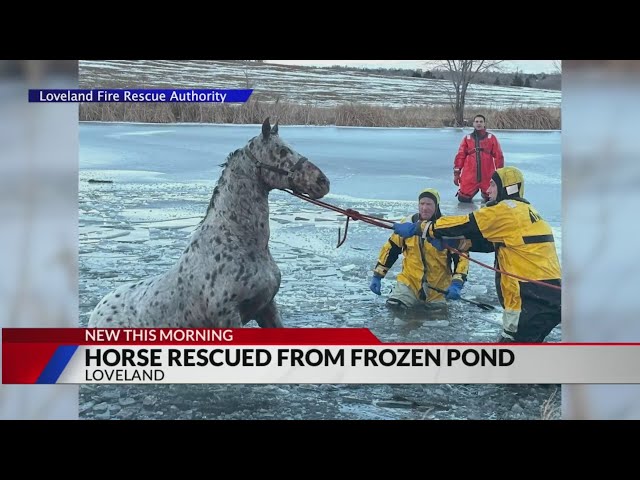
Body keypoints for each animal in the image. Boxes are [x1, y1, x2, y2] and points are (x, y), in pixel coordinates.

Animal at [89, 119, 330, 328]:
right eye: (281, 151)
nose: (323, 182)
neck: (239, 240)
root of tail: (97, 311)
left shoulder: (267, 307)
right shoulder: (228, 316)